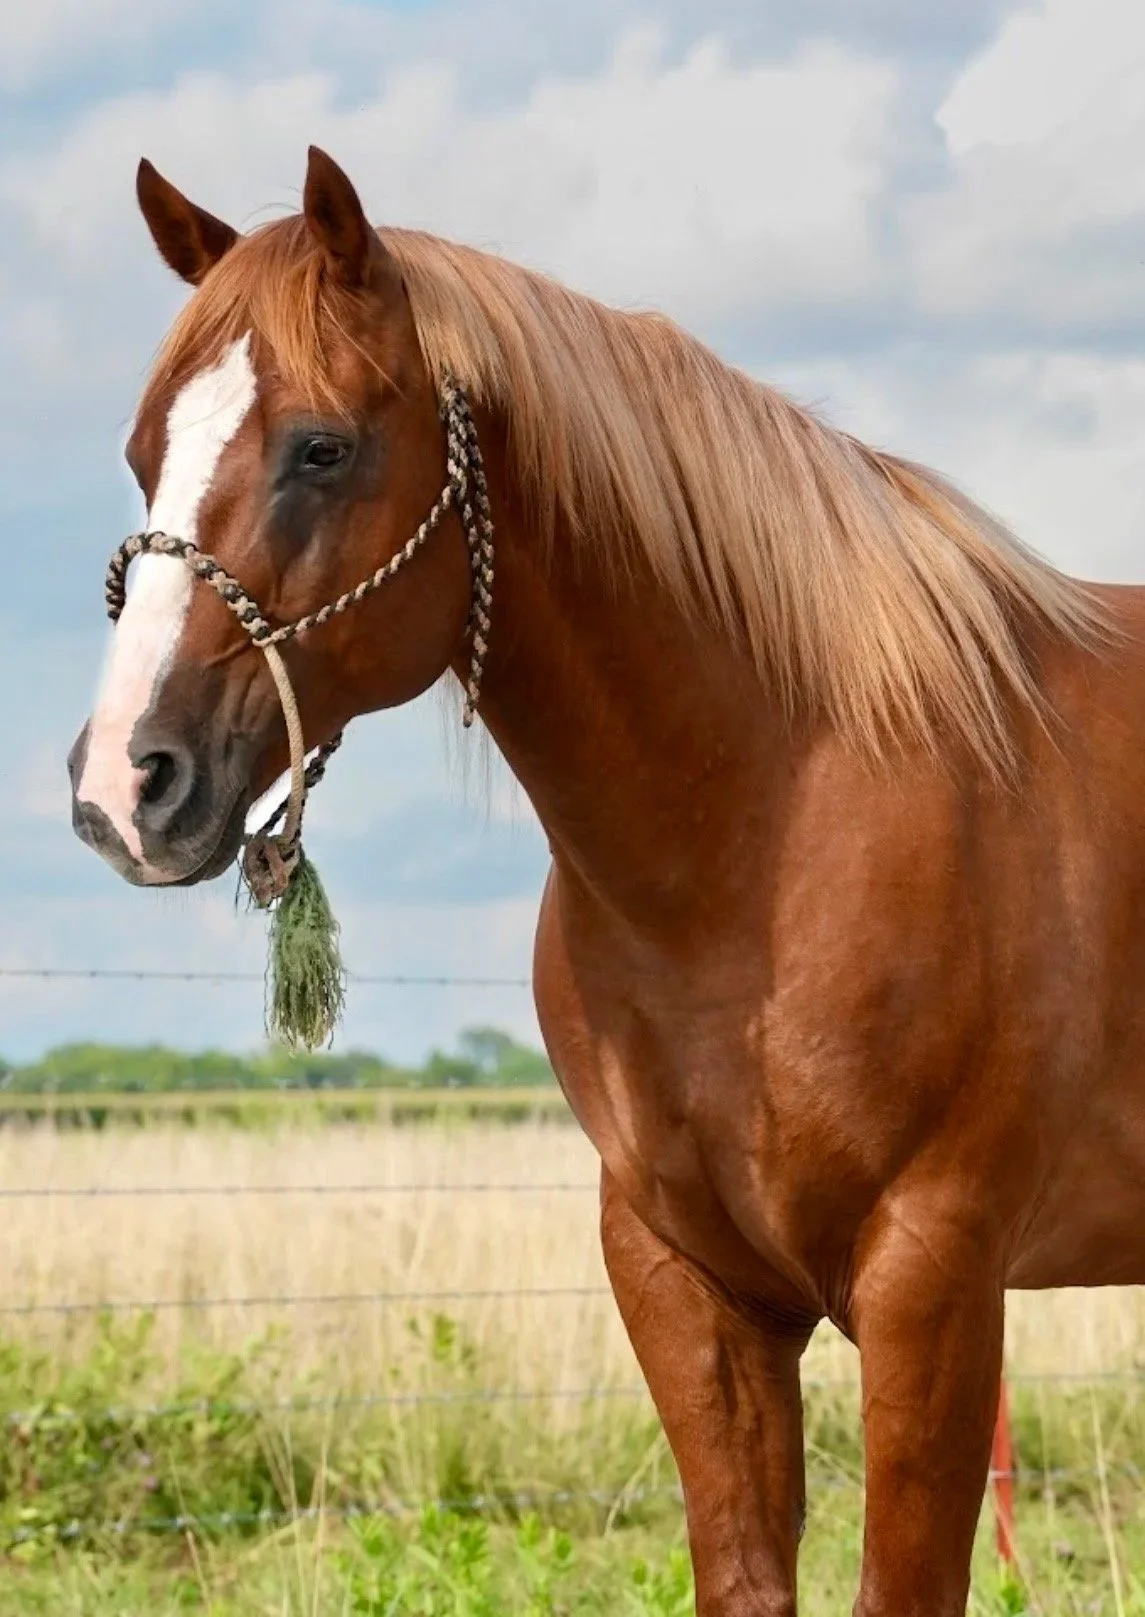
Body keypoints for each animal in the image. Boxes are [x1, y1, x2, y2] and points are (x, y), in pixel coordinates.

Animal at [66, 146, 1145, 1616]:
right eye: (143, 456)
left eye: (320, 448)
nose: (124, 787)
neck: (771, 838)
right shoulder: (682, 1282)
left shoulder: (935, 1282)